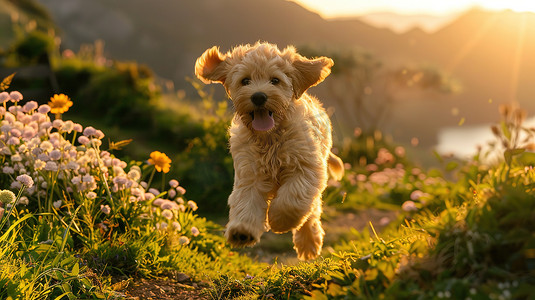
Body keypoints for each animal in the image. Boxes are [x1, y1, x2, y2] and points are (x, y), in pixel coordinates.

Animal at [196, 42, 344, 260]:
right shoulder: (250, 174)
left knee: (312, 211)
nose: (259, 96)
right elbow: (246, 201)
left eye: (275, 80)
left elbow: (292, 200)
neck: (270, 138)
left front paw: (279, 221)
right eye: (245, 80)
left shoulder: (306, 169)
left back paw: (308, 242)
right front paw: (242, 231)